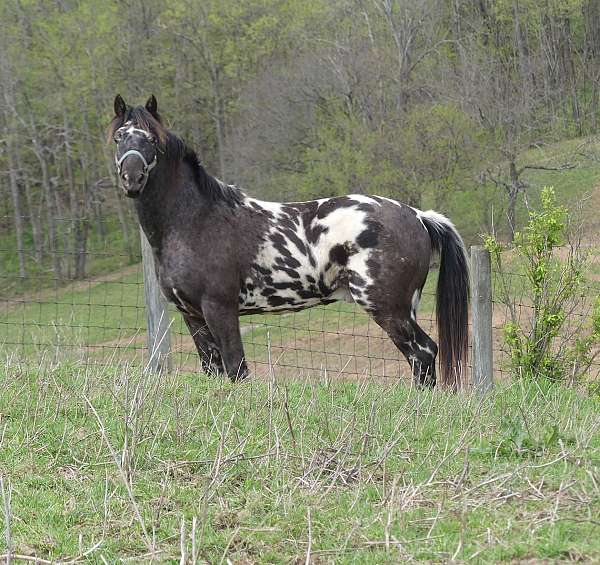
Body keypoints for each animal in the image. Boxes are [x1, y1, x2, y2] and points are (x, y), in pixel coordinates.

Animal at [110, 94, 472, 390]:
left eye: (151, 140)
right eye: (118, 137)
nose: (132, 178)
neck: (195, 220)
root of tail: (418, 215)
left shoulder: (220, 309)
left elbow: (237, 369)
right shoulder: (193, 315)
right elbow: (214, 370)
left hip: (387, 308)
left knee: (423, 353)